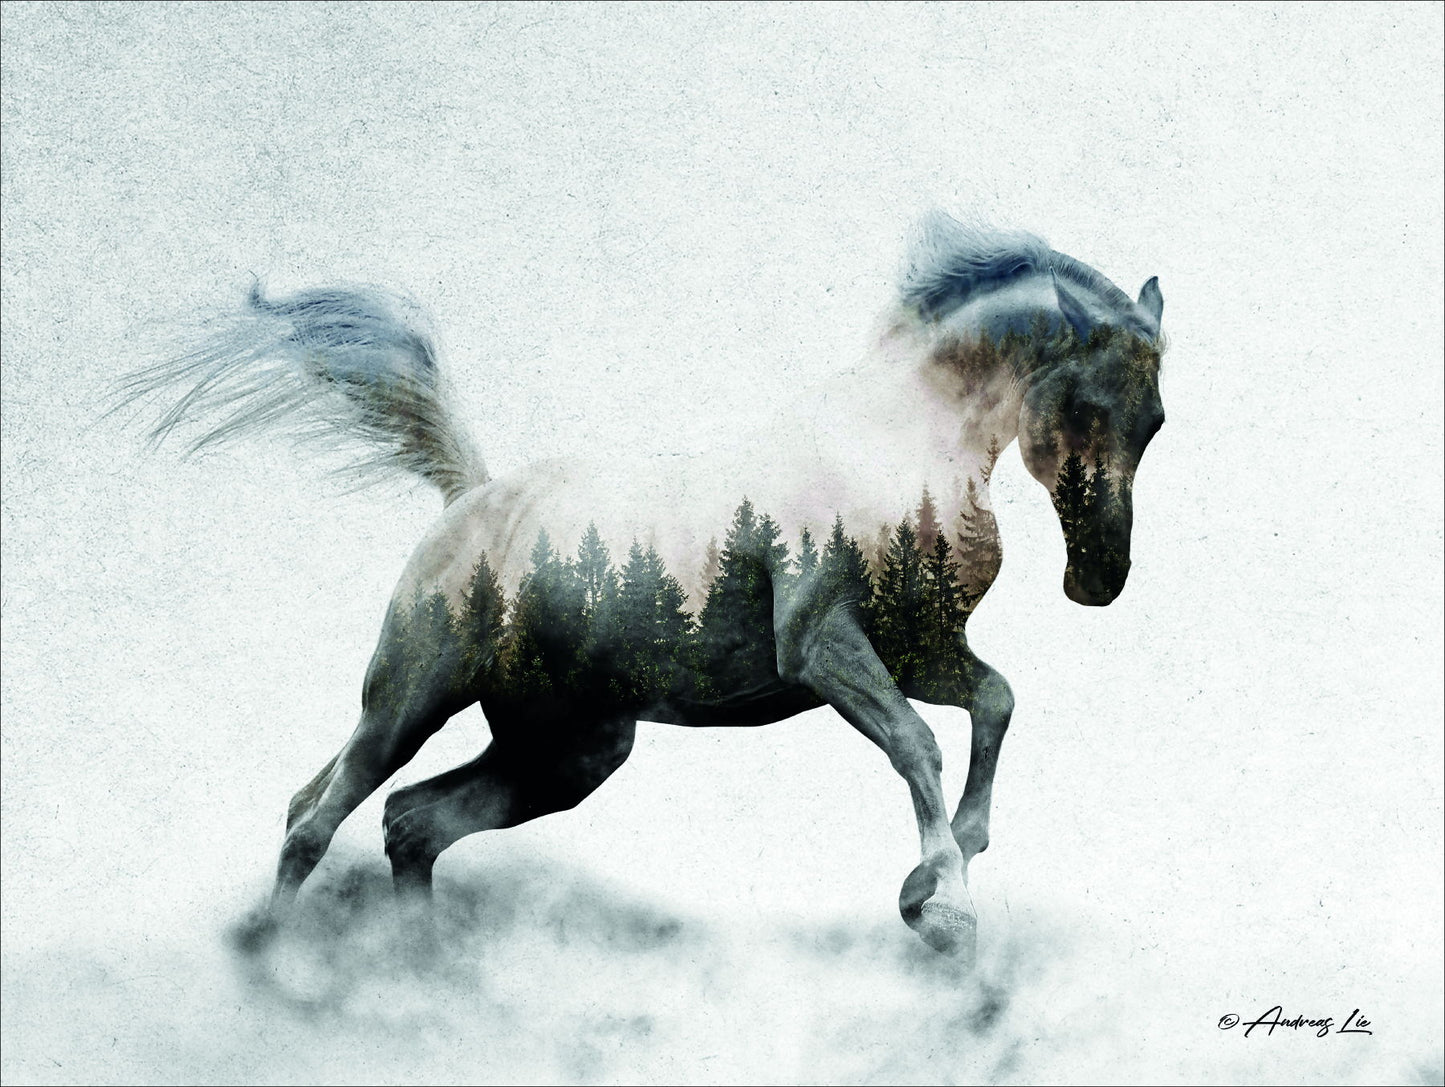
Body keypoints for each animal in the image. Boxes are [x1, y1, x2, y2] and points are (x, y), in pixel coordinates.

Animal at [117, 212, 1167, 961]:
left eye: (1155, 419)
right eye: (1089, 403)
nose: (1098, 579)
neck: (893, 448)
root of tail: (470, 495)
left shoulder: (922, 648)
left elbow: (995, 701)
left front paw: (935, 880)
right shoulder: (824, 647)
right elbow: (918, 743)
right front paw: (941, 907)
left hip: (568, 748)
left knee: (408, 823)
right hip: (412, 695)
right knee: (316, 815)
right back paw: (263, 964)